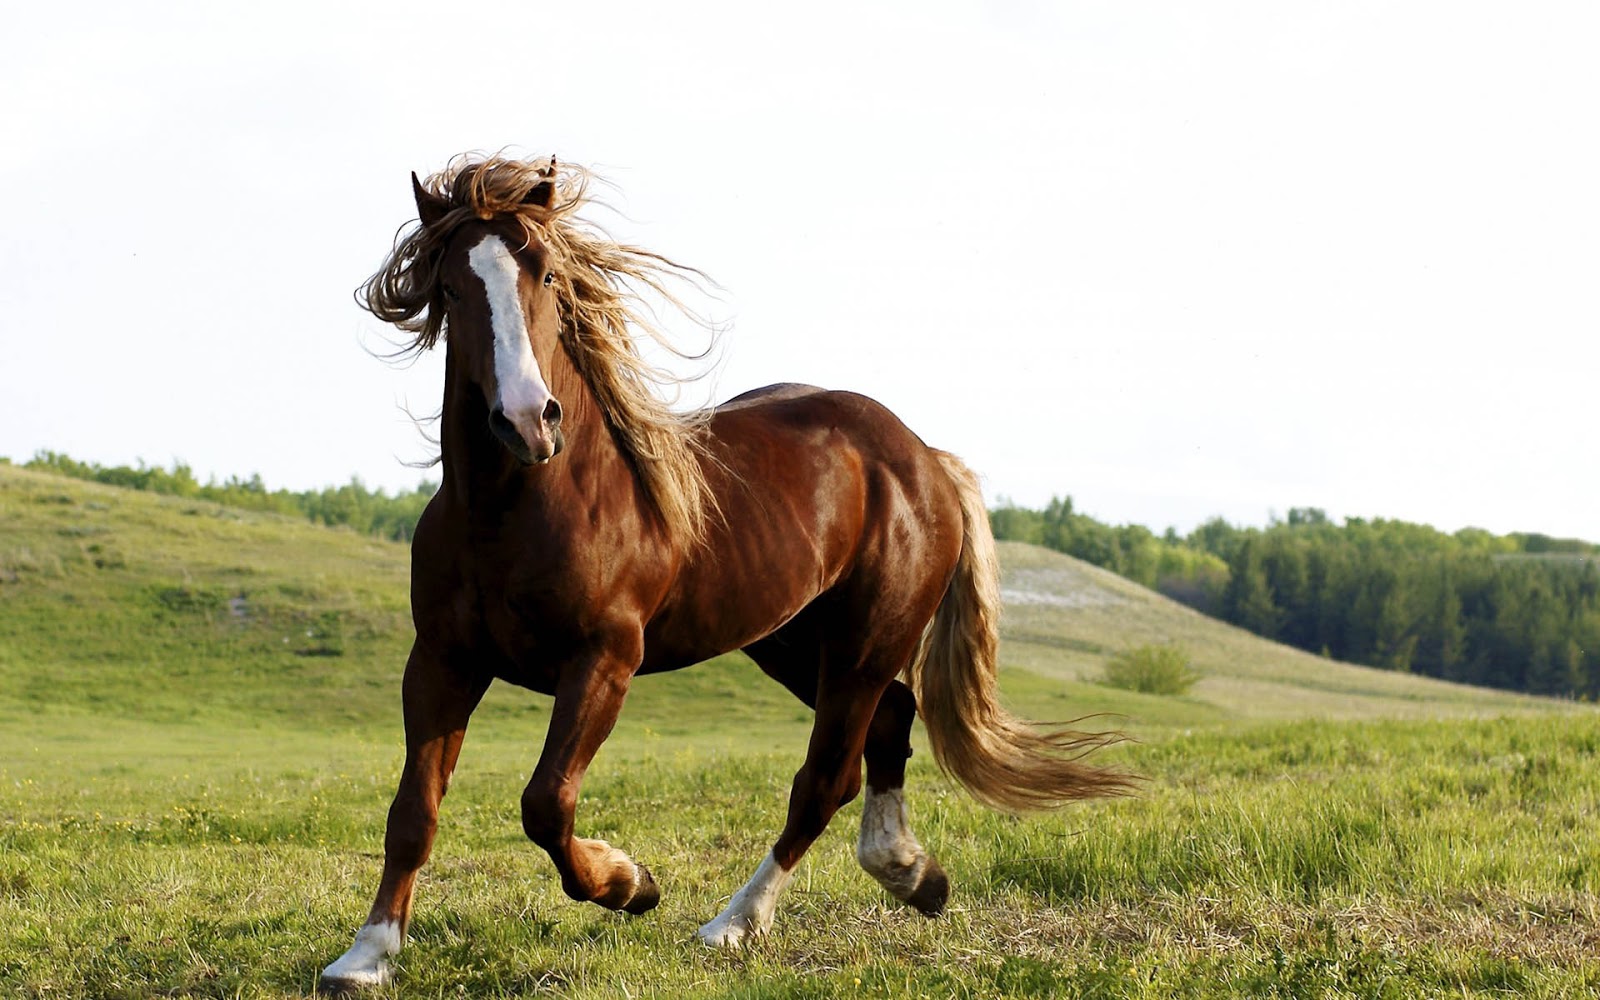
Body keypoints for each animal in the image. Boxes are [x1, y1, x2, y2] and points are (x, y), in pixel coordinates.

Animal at [320, 153, 1131, 991]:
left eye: (544, 273)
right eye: (450, 287)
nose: (526, 421)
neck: (519, 506)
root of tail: (923, 458)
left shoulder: (604, 659)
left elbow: (546, 803)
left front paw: (630, 883)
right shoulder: (442, 661)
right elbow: (414, 812)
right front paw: (367, 954)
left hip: (863, 646)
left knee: (823, 781)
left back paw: (734, 924)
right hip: (792, 643)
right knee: (890, 724)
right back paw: (912, 874)